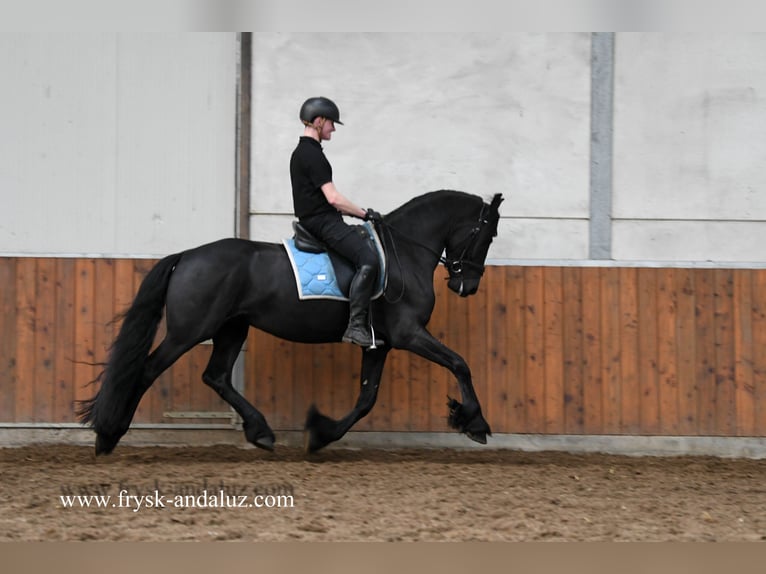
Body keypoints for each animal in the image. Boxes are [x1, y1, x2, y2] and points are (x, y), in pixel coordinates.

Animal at [78, 191, 504, 456]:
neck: (404, 253)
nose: (466, 285)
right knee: (147, 370)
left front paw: (320, 434)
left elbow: (366, 399)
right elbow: (460, 363)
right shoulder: (408, 333)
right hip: (189, 332)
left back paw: (261, 432)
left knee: (216, 376)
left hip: (232, 328)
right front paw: (476, 422)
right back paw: (109, 435)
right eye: (487, 234)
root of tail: (187, 256)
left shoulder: (379, 343)